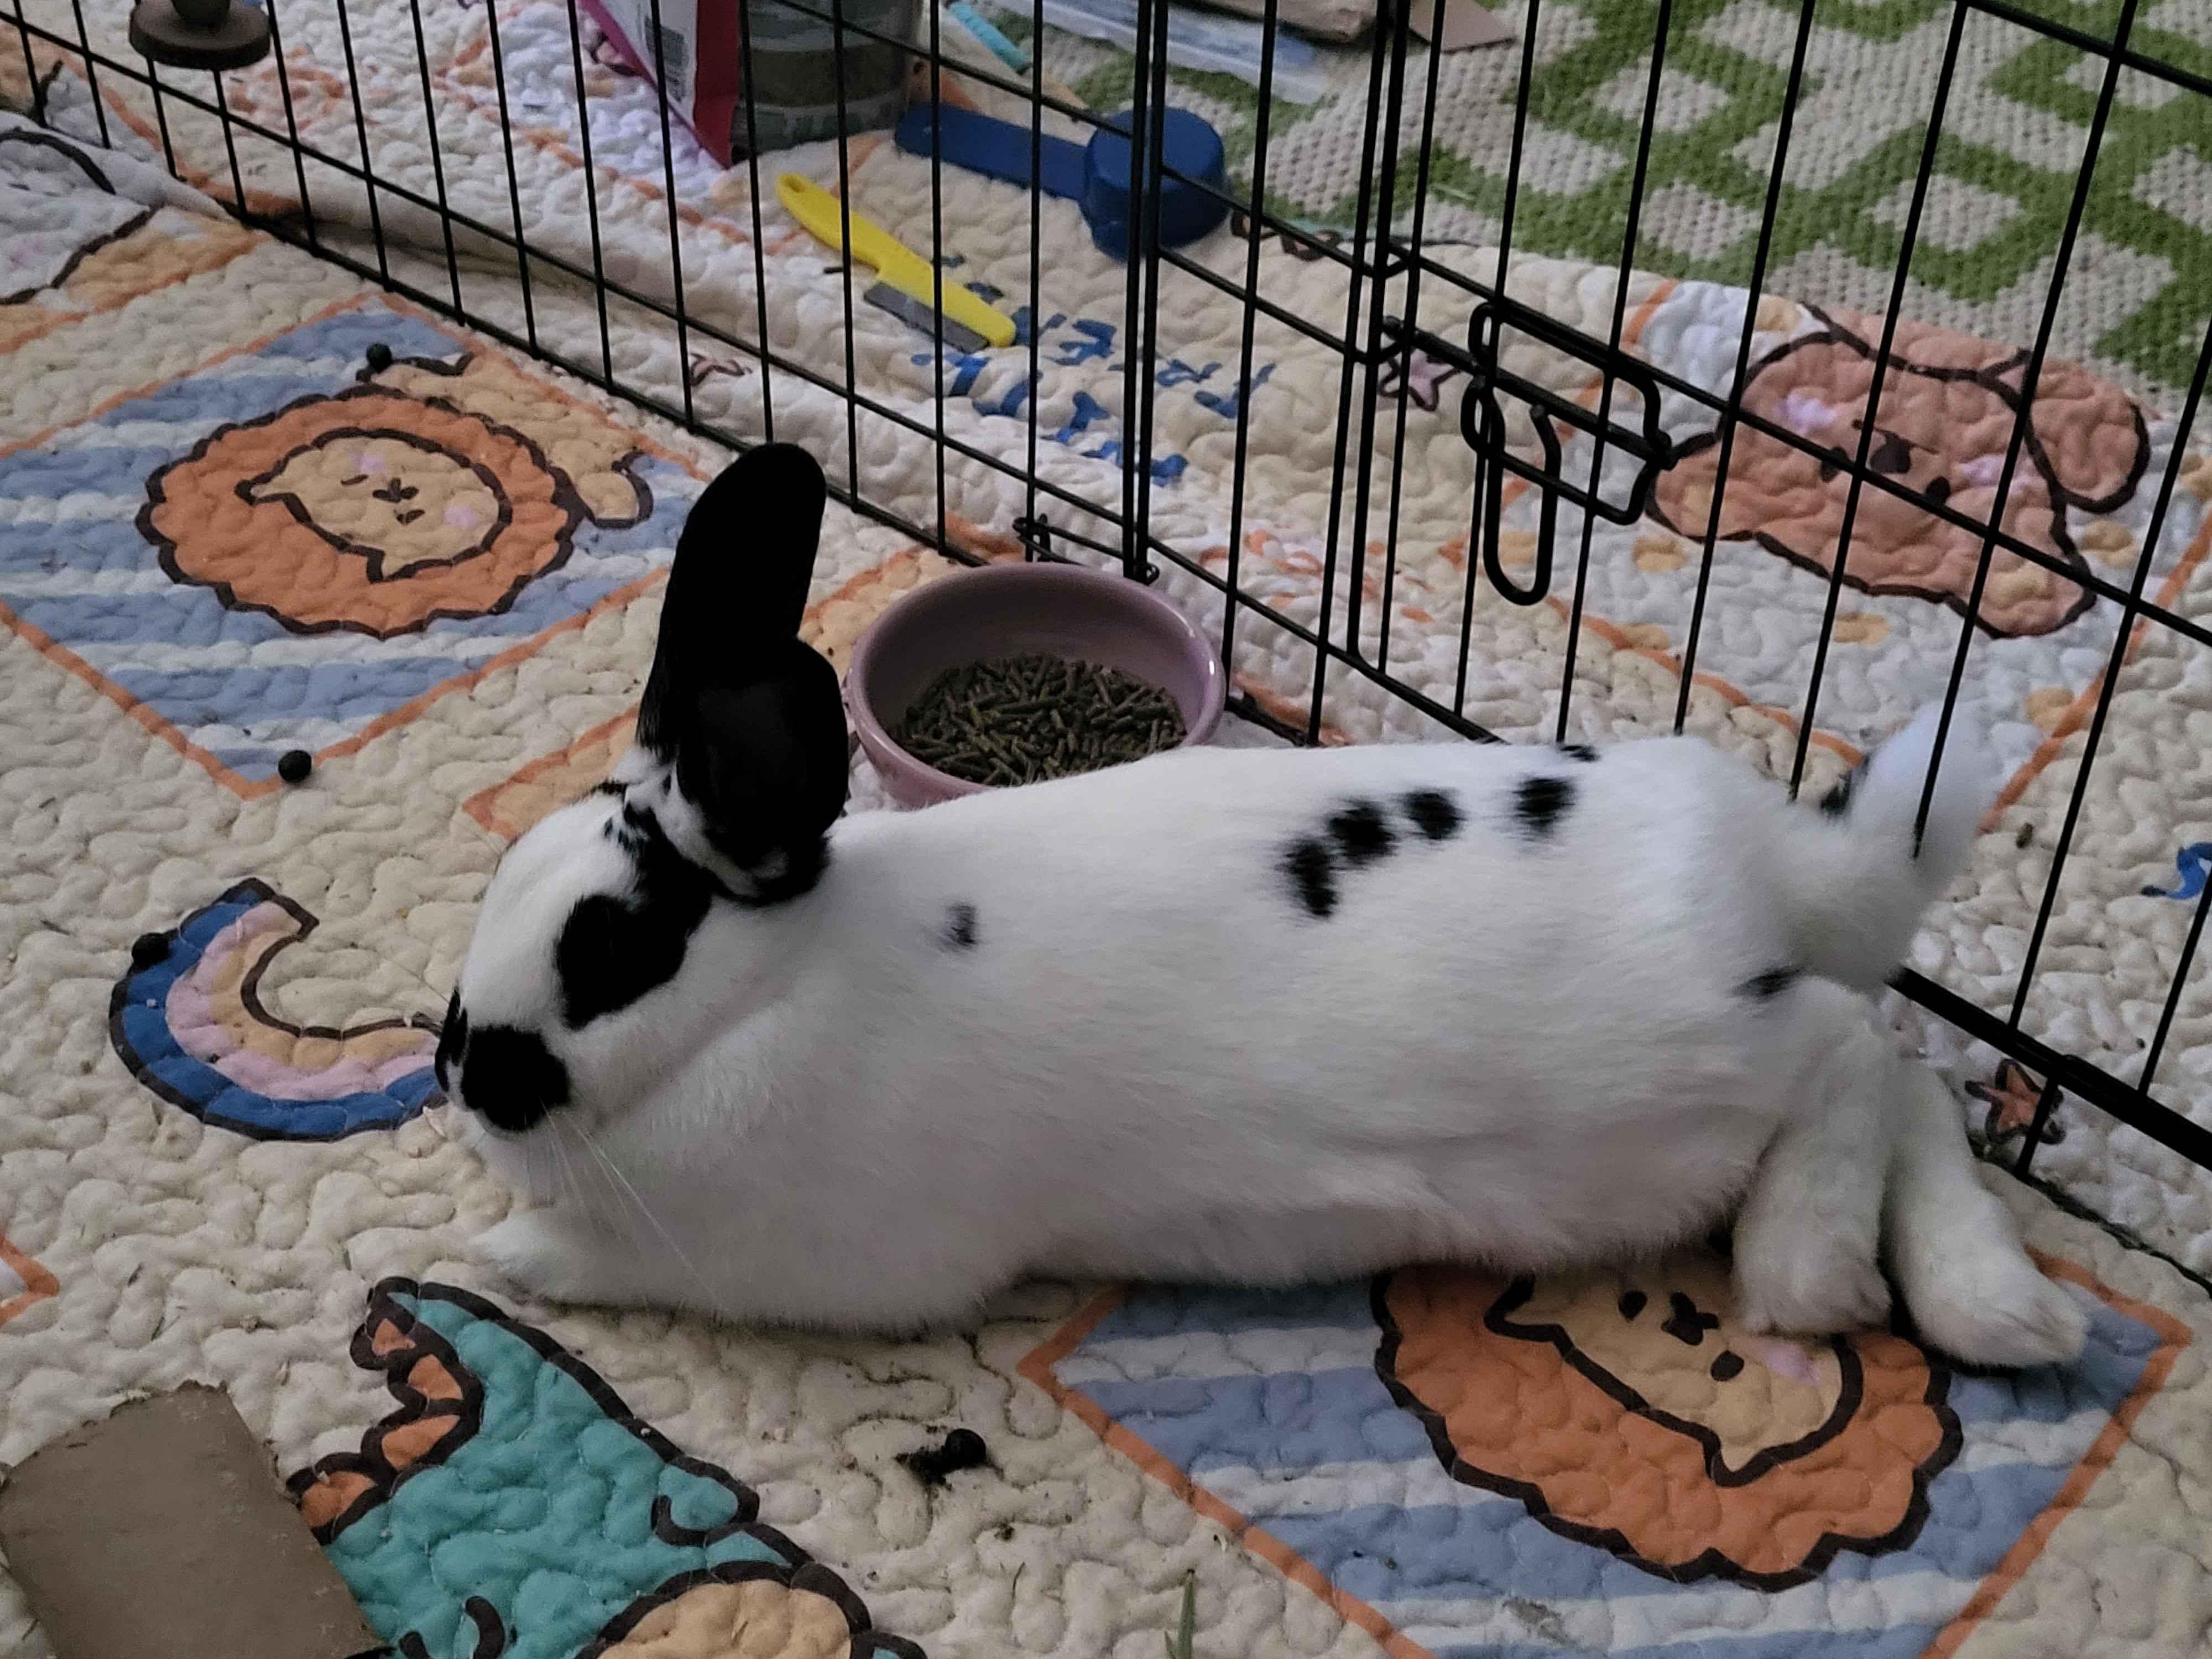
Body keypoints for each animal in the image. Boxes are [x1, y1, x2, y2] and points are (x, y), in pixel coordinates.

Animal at [441, 442, 2087, 1369]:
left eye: (611, 948)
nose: (459, 1067)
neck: (769, 995)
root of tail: (1749, 859)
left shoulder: (812, 1263)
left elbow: (607, 1262)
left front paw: (508, 1259)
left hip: (1676, 1093)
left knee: (1854, 1052)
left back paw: (1812, 1276)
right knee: (1912, 1075)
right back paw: (2001, 1307)